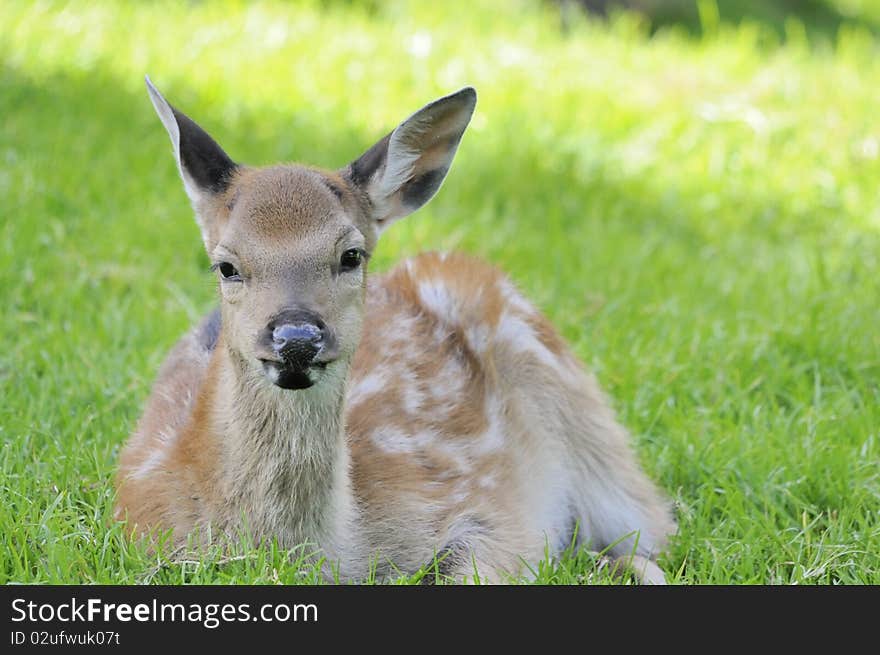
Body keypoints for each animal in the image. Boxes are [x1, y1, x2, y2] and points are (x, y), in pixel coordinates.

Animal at [117, 78, 676, 584]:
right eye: (227, 265)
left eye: (351, 255)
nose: (296, 338)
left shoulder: (488, 509)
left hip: (594, 441)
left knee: (653, 528)